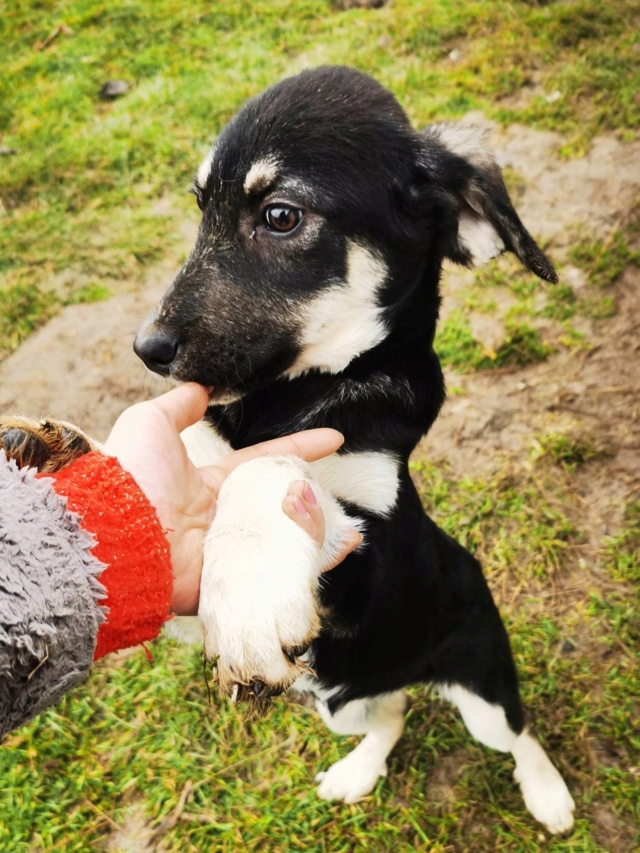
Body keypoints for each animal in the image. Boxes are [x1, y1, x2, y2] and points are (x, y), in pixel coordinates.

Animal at [135, 66, 576, 832]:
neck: (292, 394)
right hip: (341, 700)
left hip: (484, 686)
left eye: (281, 216)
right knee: (390, 715)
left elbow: (271, 467)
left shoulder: (363, 559)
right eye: (201, 207)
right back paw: (358, 771)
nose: (147, 349)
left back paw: (547, 794)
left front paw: (247, 576)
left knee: (519, 731)